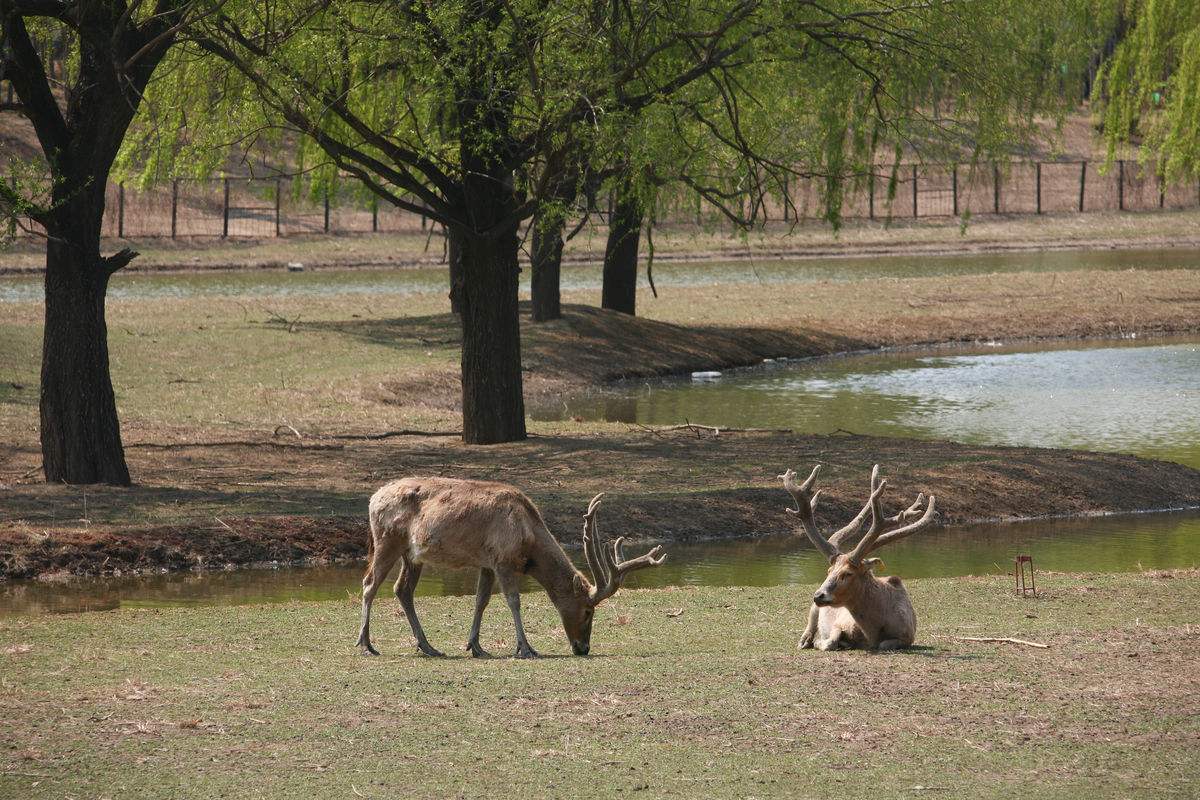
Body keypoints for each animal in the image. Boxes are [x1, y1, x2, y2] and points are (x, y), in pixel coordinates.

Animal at [360, 479, 672, 662]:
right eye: (588, 611)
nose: (583, 648)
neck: (529, 541)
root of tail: (373, 499)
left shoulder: (486, 563)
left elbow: (481, 601)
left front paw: (475, 646)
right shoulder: (503, 559)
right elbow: (513, 601)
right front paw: (525, 647)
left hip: (412, 554)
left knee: (402, 590)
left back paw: (427, 646)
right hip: (388, 540)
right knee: (369, 584)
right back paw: (365, 644)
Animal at [777, 462, 936, 652]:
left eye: (848, 573)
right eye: (829, 570)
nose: (819, 595)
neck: (871, 632)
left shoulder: (907, 636)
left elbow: (884, 644)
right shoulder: (839, 622)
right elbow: (830, 641)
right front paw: (819, 642)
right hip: (814, 609)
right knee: (811, 624)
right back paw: (806, 640)